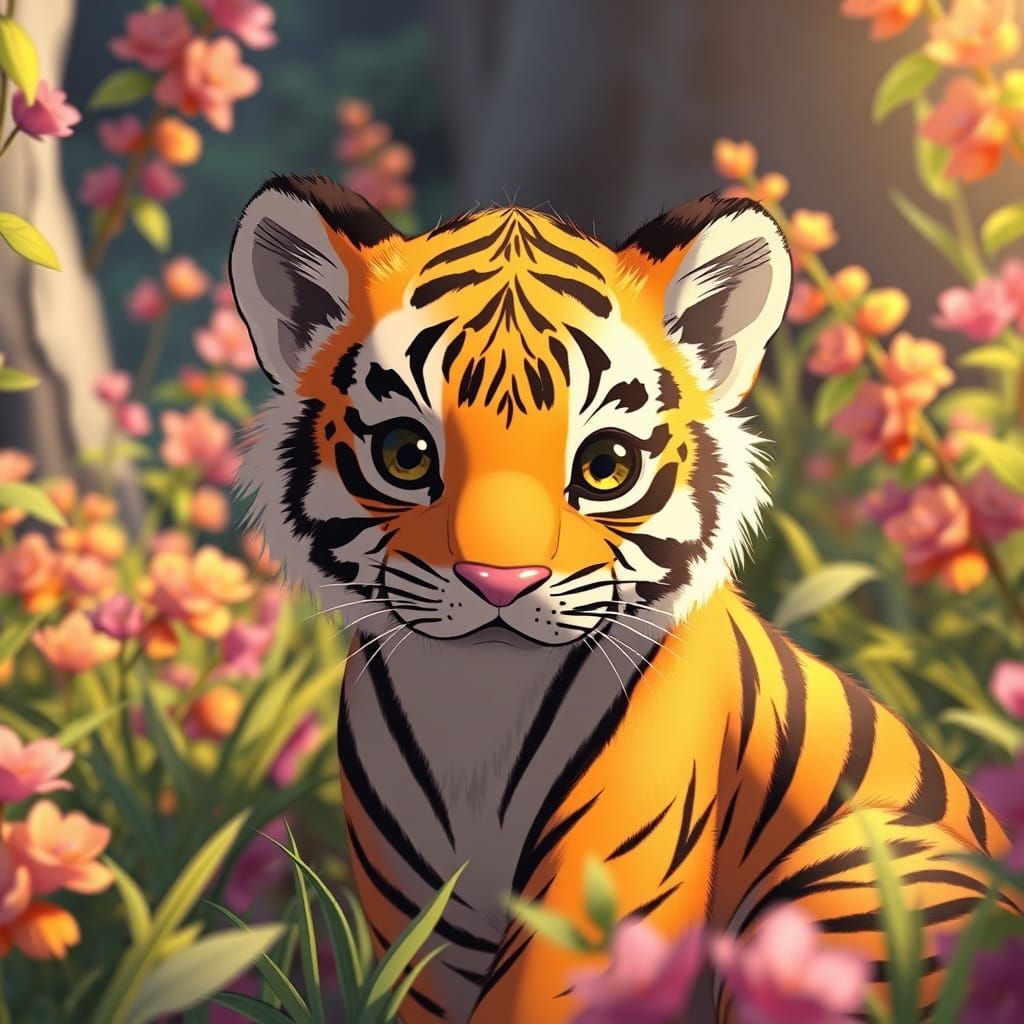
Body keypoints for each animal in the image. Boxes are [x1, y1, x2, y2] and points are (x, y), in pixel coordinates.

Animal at [230, 174, 1015, 1024]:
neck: (476, 709)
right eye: (406, 455)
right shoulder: (413, 911)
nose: (499, 583)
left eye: (605, 465)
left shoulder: (603, 884)